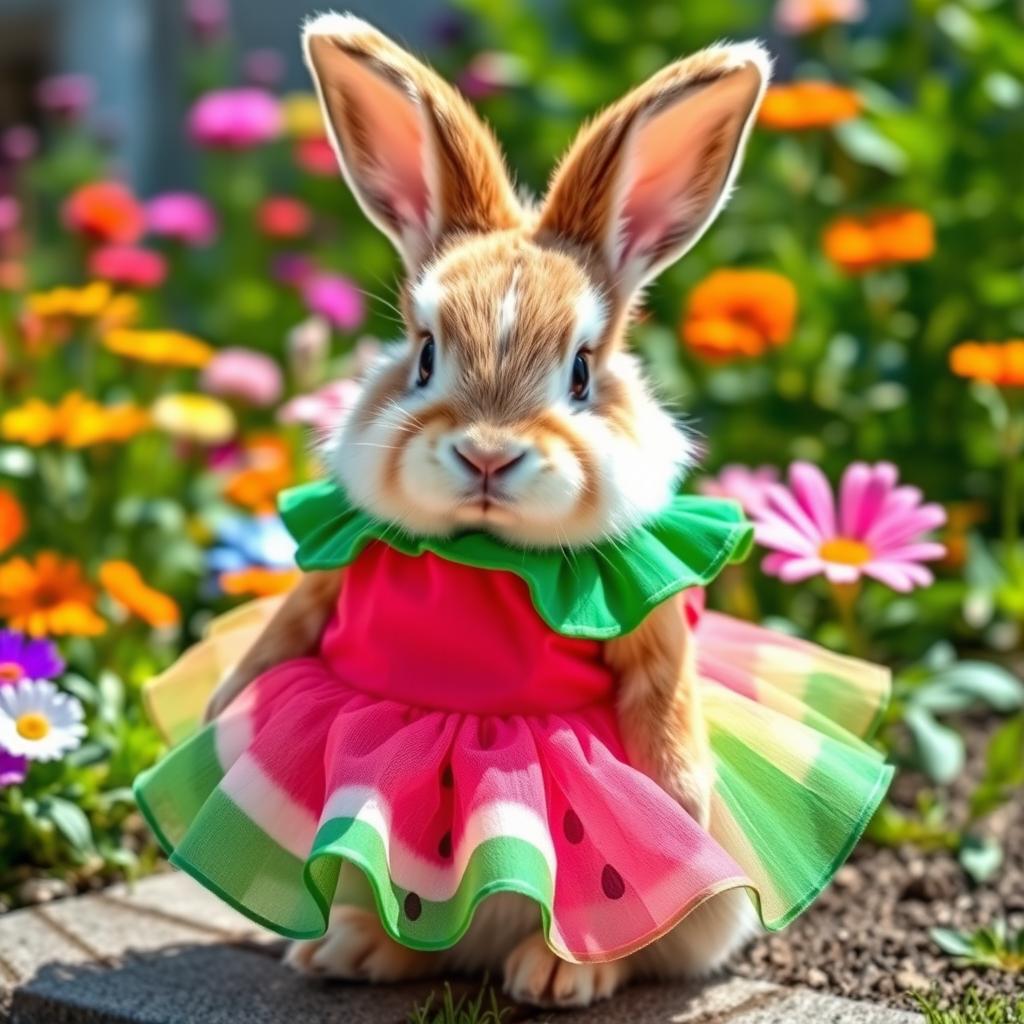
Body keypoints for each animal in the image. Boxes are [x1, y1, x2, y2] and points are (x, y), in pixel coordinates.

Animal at [205, 14, 770, 1007]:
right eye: (424, 355)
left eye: (581, 372)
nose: (487, 453)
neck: (485, 553)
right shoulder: (329, 579)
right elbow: (278, 639)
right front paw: (221, 722)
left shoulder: (647, 612)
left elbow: (663, 703)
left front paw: (681, 799)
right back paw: (350, 951)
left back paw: (555, 975)